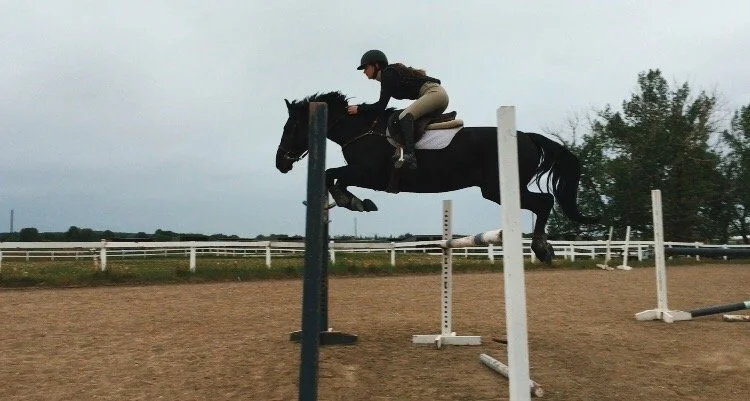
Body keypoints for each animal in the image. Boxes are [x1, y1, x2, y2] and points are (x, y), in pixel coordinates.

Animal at [275, 91, 599, 263]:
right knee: (543, 202)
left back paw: (542, 248)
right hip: (498, 189)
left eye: (292, 127)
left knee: (544, 202)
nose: (280, 163)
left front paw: (351, 201)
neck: (361, 131)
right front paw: (356, 202)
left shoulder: (369, 174)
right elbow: (336, 178)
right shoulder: (363, 175)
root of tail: (527, 136)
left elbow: (332, 174)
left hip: (498, 188)